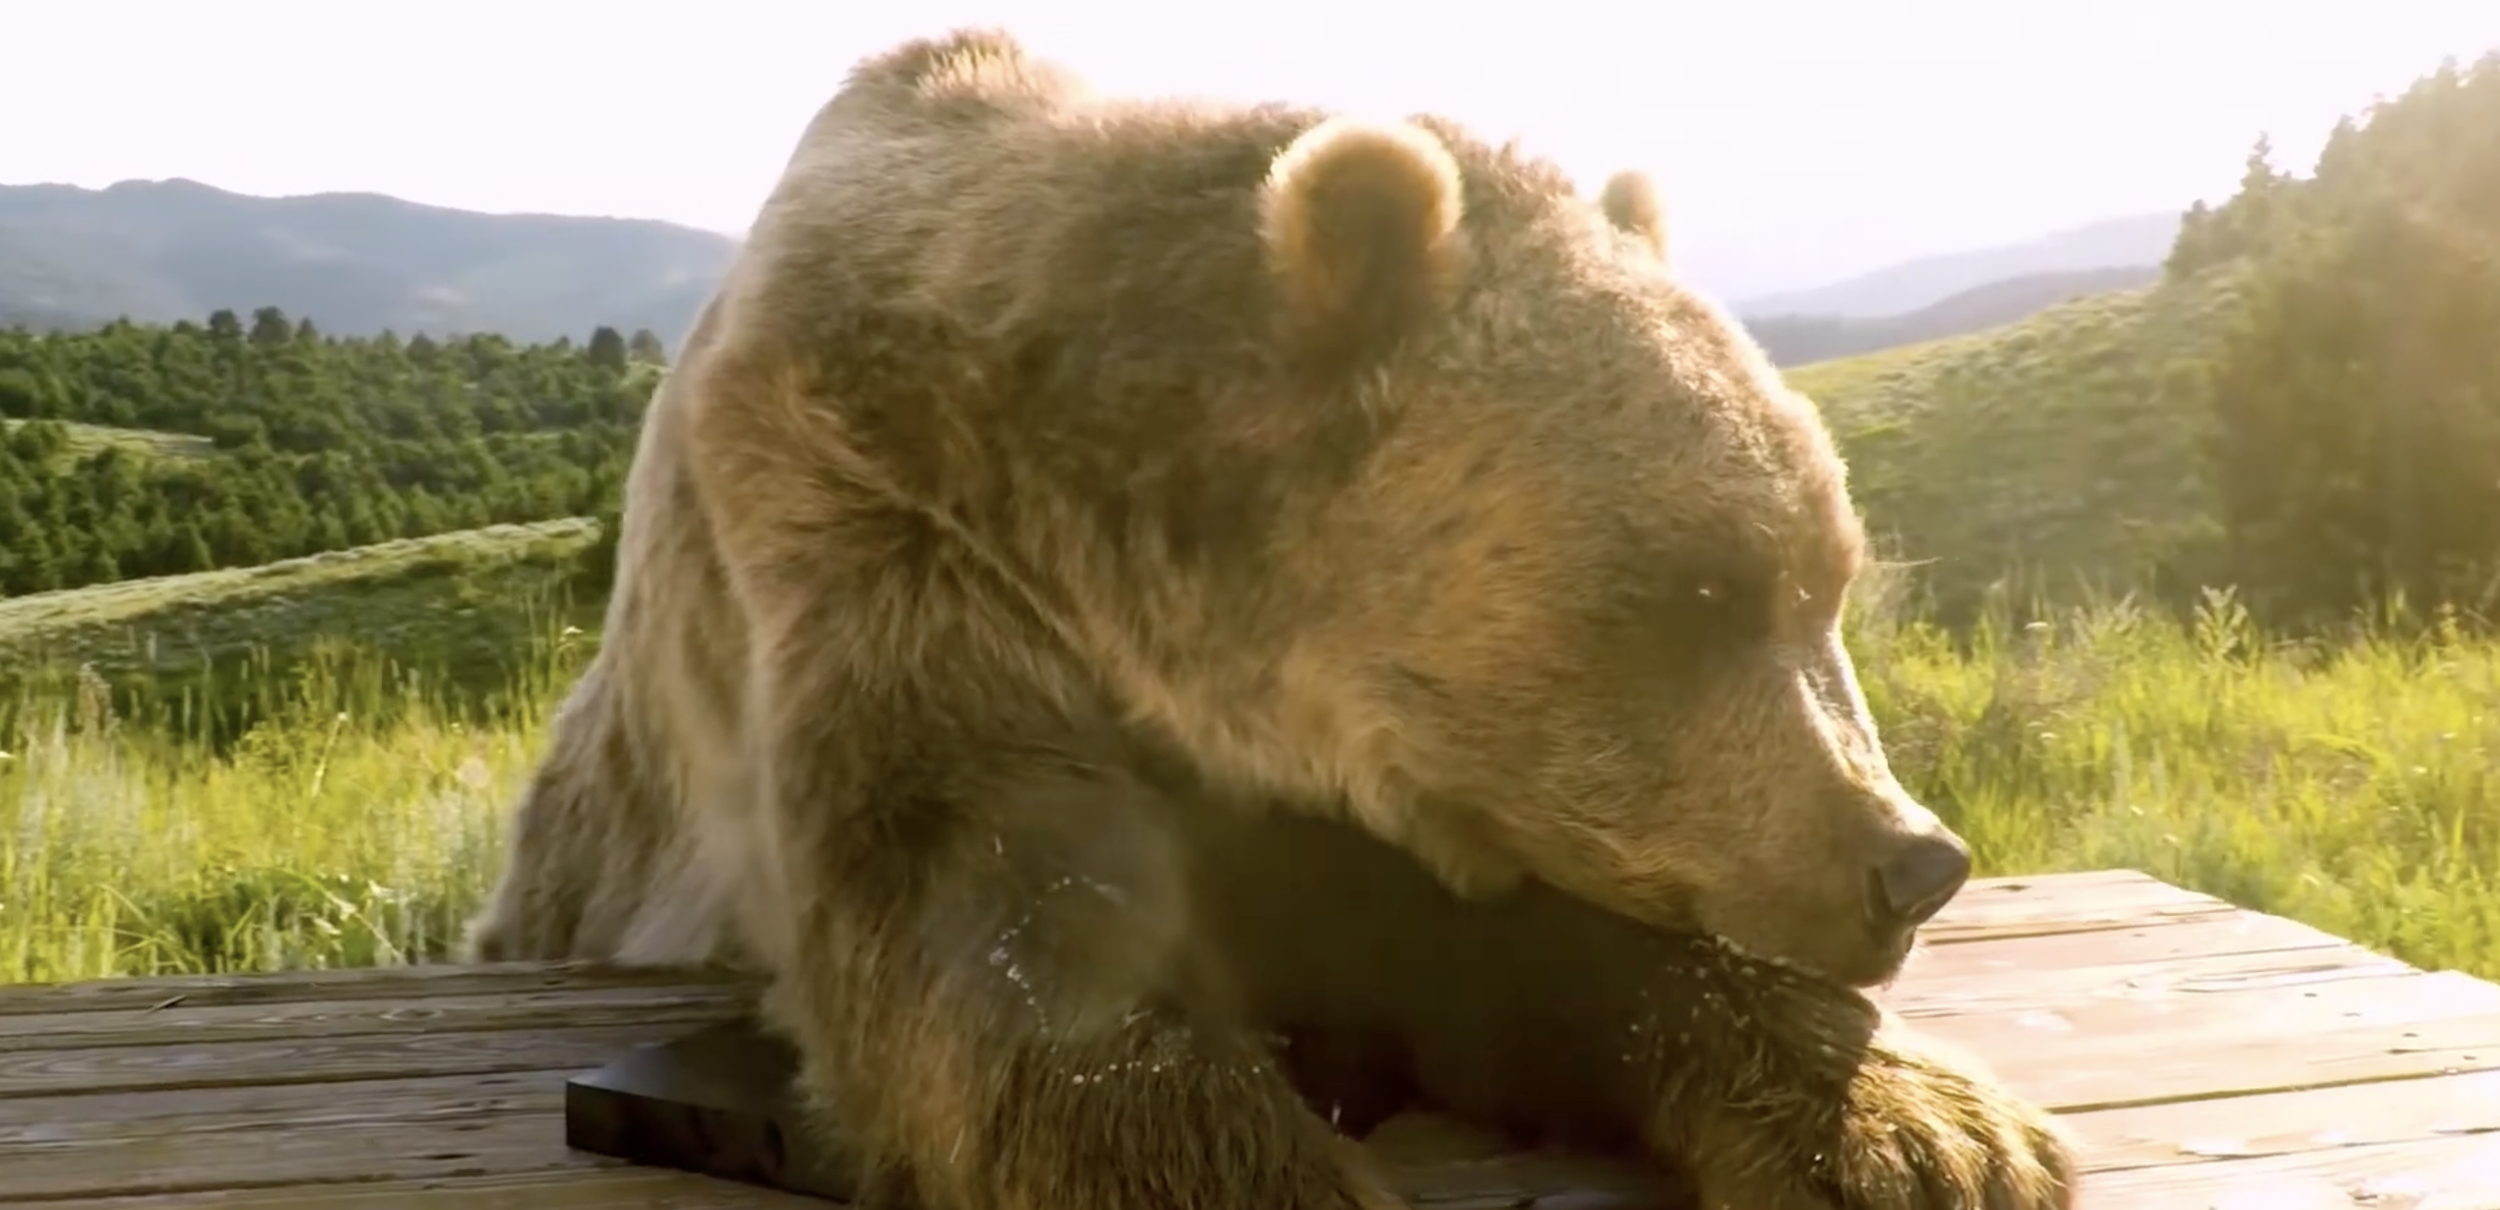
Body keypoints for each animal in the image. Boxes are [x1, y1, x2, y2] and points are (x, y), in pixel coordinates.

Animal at [463, 26, 2076, 1210]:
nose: (1910, 860)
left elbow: (1548, 940)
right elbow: (1003, 948)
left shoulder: (1374, 790)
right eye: (1698, 587)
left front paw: (1930, 1134)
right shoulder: (869, 540)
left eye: (1831, 577)